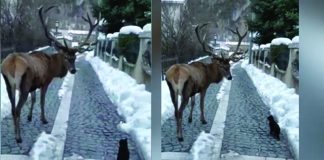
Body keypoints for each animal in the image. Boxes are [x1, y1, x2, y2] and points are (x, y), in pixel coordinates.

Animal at [0, 5, 98, 142]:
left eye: (74, 57)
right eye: (66, 57)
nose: (73, 70)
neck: (52, 67)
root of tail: (11, 63)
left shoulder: (33, 85)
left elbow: (34, 99)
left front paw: (29, 117)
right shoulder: (45, 82)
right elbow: (42, 101)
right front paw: (43, 119)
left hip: (9, 85)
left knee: (13, 108)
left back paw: (15, 132)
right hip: (24, 85)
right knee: (17, 110)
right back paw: (18, 137)